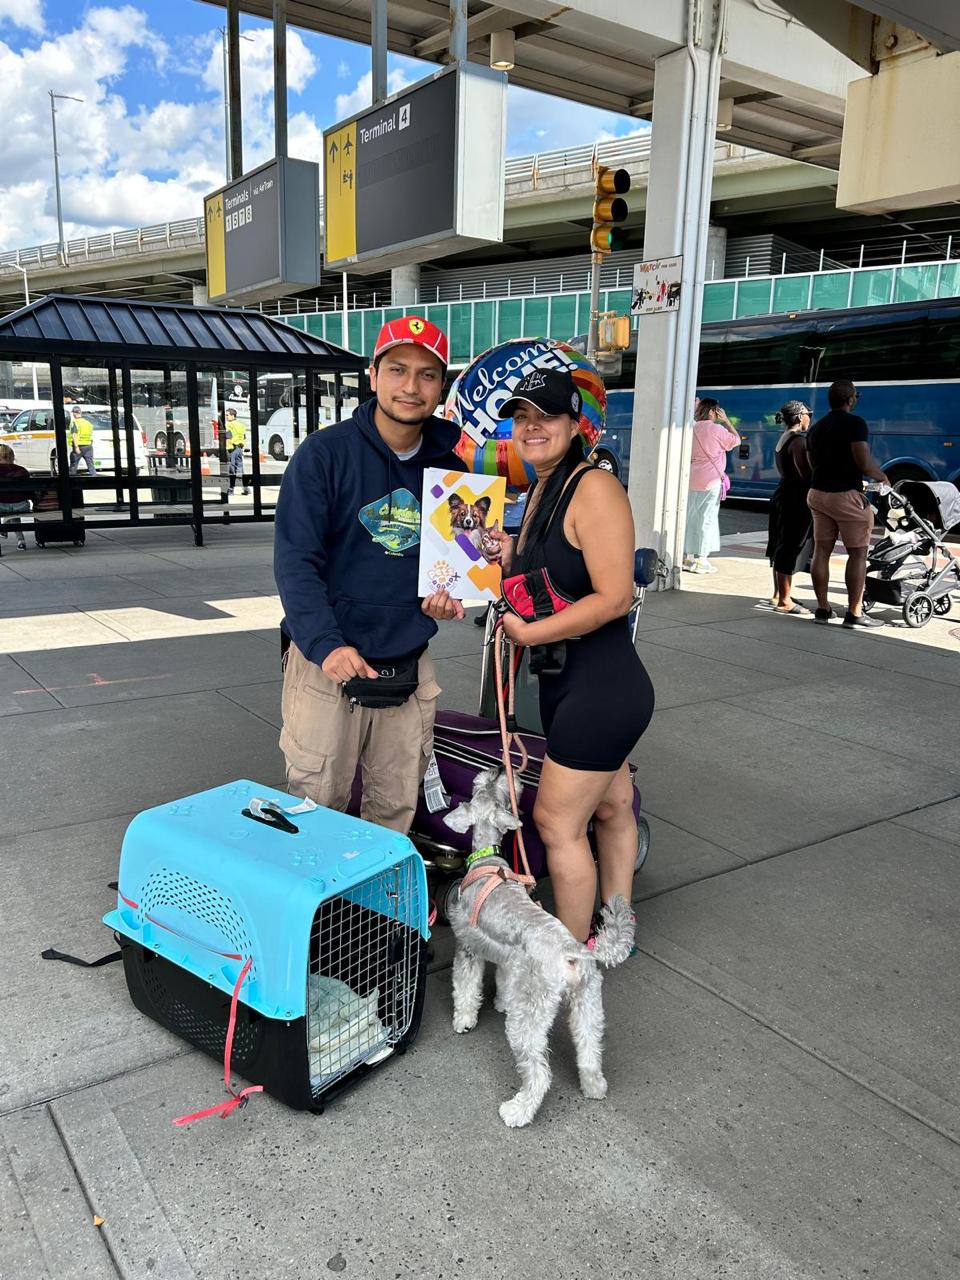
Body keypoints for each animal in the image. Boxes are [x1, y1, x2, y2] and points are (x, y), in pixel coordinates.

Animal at [443, 767, 635, 1127]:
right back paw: (594, 1087)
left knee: (538, 1072)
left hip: (529, 1017)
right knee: (589, 1051)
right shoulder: (510, 960)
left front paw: (464, 1020)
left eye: (482, 785)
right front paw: (501, 1002)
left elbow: (465, 988)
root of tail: (576, 952)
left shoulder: (468, 947)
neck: (487, 860)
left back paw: (516, 1111)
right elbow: (503, 983)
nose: (499, 769)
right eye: (495, 785)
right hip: (588, 1005)